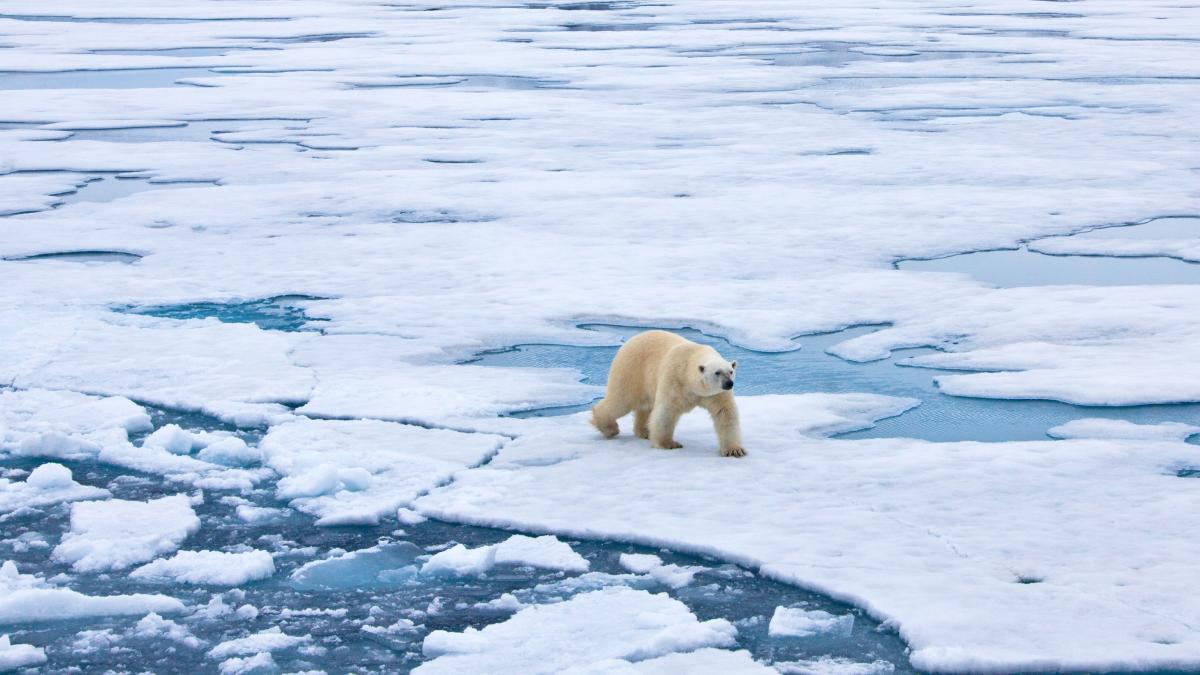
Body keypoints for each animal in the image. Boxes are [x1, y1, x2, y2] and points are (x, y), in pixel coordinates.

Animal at [590, 330, 745, 457]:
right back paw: (610, 428)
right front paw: (669, 444)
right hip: (631, 370)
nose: (729, 384)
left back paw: (645, 432)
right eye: (717, 372)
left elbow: (725, 413)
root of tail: (630, 340)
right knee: (621, 400)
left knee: (644, 407)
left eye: (731, 371)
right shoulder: (675, 379)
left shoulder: (715, 394)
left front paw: (734, 450)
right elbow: (666, 411)